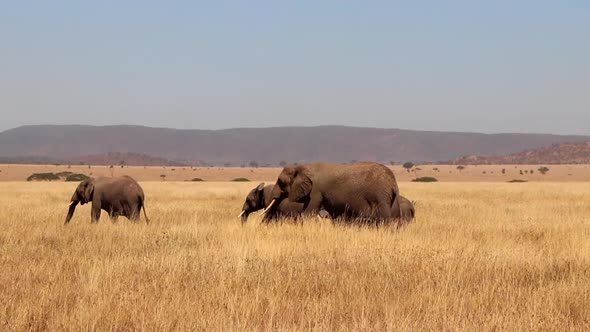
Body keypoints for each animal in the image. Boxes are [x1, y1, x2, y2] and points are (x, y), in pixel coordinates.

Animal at [266, 161, 404, 226]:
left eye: (281, 182)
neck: (302, 168)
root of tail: (393, 182)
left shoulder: (315, 191)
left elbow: (308, 213)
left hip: (380, 197)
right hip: (389, 199)